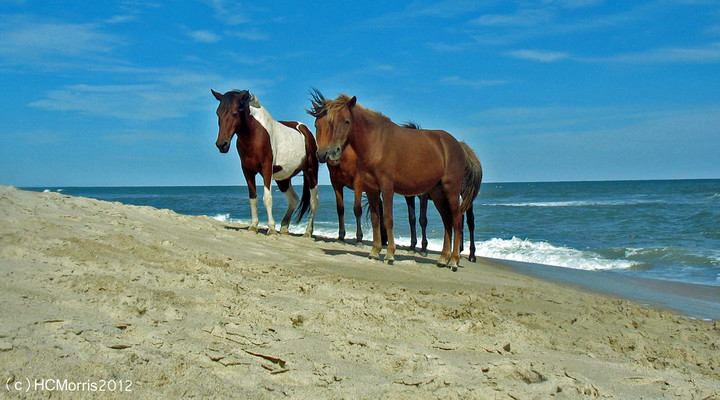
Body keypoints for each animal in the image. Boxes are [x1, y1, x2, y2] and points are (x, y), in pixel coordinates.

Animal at [212, 89, 319, 237]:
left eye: (235, 113)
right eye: (218, 113)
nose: (222, 144)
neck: (255, 135)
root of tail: (305, 130)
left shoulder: (266, 169)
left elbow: (267, 198)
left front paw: (271, 229)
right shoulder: (247, 171)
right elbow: (253, 198)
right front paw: (253, 226)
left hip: (310, 171)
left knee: (314, 200)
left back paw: (308, 232)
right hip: (283, 178)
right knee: (294, 199)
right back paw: (284, 227)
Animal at [319, 94, 481, 271]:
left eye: (347, 121)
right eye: (330, 122)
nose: (333, 152)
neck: (377, 143)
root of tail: (458, 145)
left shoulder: (387, 187)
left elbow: (388, 219)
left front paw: (390, 254)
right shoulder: (371, 188)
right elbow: (376, 218)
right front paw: (374, 251)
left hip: (451, 189)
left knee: (457, 221)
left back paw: (454, 261)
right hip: (438, 193)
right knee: (447, 221)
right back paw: (443, 258)